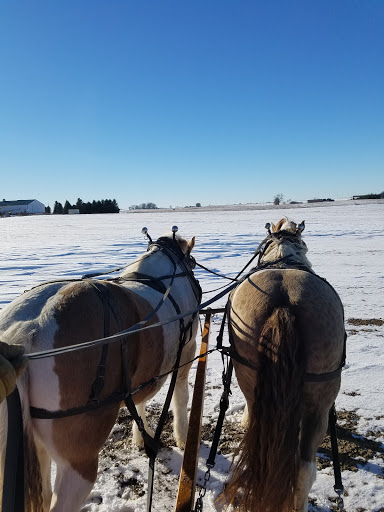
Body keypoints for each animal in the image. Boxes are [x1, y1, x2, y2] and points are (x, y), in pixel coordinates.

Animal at [0, 233, 201, 512]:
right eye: (192, 261)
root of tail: (26, 332)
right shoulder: (186, 355)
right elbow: (181, 398)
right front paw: (183, 437)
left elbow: (141, 399)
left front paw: (141, 436)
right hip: (78, 464)